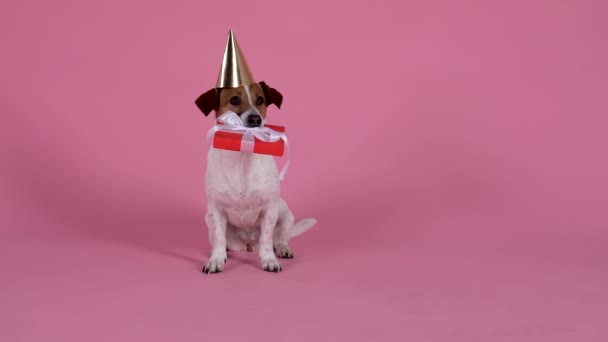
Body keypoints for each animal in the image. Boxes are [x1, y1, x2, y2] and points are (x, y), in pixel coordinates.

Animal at [195, 81, 318, 274]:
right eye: (234, 99)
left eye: (260, 100)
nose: (255, 119)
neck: (244, 151)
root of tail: (249, 244)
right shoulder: (215, 210)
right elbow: (219, 238)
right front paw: (215, 260)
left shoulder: (269, 209)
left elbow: (266, 239)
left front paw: (269, 260)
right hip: (209, 219)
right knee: (221, 241)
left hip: (286, 216)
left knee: (279, 239)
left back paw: (283, 248)